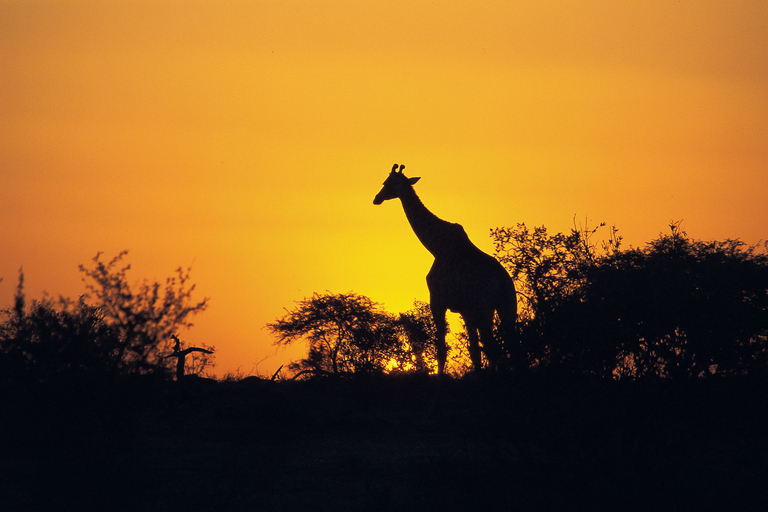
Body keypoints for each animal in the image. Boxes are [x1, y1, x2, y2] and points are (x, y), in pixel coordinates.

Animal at [372, 164, 516, 376]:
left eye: (386, 183)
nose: (376, 198)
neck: (435, 246)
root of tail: (502, 281)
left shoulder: (438, 301)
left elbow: (441, 348)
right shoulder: (466, 309)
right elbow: (474, 351)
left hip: (485, 308)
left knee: (493, 347)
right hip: (507, 307)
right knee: (509, 346)